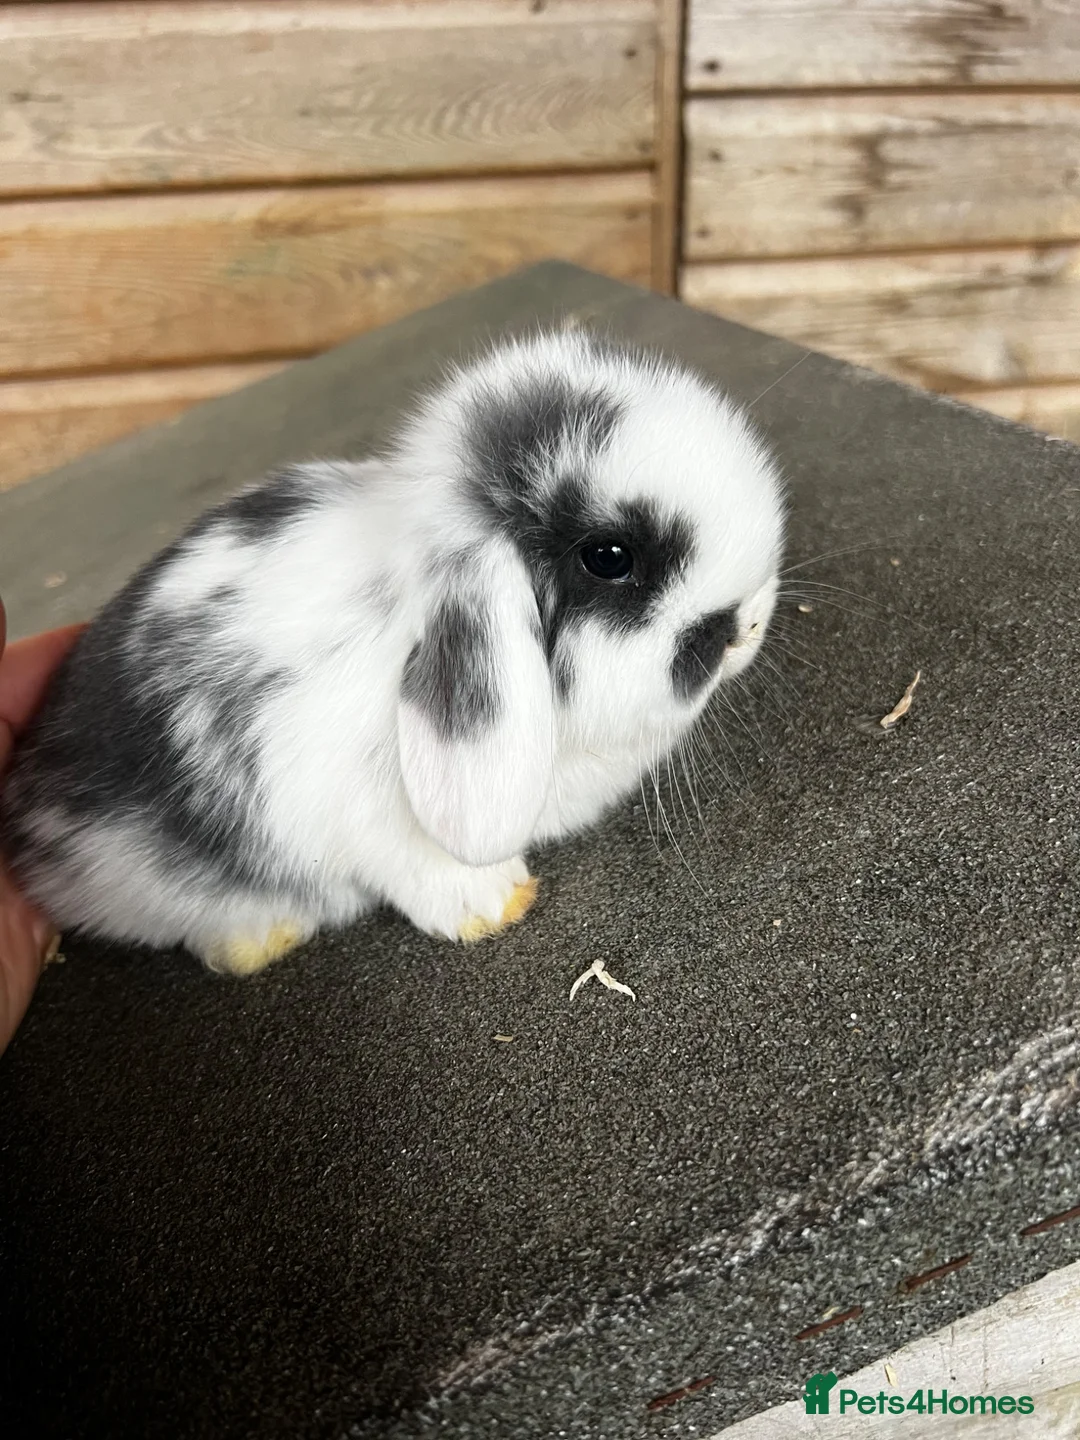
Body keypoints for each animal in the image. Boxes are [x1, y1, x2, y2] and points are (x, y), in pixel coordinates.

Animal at [0, 331, 785, 976]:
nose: (747, 625)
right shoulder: (356, 809)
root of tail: (26, 817)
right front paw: (496, 904)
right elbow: (419, 864)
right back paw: (261, 939)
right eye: (610, 557)